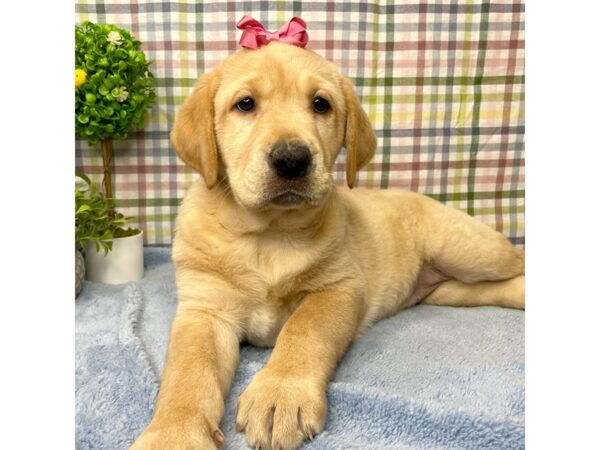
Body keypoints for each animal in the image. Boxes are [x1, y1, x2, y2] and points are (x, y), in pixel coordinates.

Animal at [131, 42, 524, 450]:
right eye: (245, 104)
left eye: (321, 104)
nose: (291, 159)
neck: (269, 233)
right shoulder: (203, 309)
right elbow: (188, 371)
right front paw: (173, 434)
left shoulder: (339, 288)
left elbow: (304, 331)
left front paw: (279, 394)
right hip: (452, 289)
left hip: (473, 252)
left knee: (518, 259)